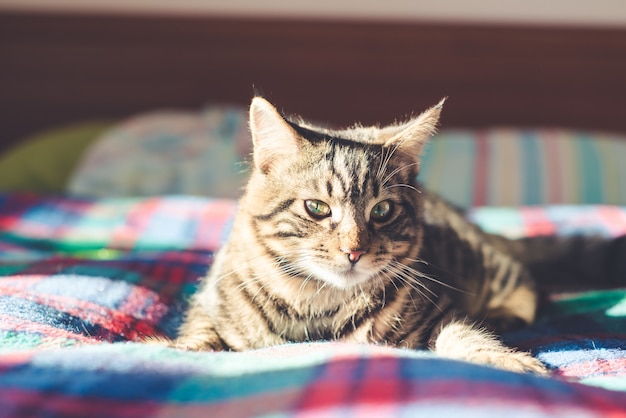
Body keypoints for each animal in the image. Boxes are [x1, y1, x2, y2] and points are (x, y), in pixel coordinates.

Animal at [166, 97, 552, 372]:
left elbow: (465, 334)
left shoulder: (441, 311)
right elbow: (200, 336)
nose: (354, 251)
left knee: (523, 281)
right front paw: (179, 349)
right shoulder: (207, 304)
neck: (316, 307)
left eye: (382, 210)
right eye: (316, 207)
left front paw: (502, 359)